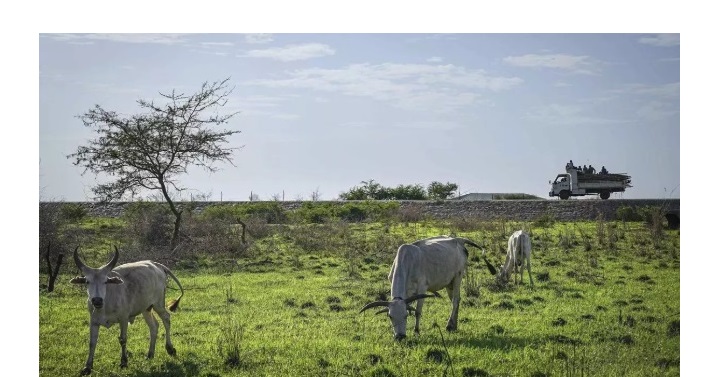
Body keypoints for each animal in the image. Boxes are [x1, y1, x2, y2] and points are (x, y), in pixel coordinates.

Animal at [360, 235, 498, 338]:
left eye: (405, 316)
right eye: (390, 316)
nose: (400, 337)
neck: (407, 262)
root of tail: (459, 240)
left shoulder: (422, 289)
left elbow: (417, 311)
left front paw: (416, 331)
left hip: (457, 277)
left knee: (454, 301)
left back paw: (449, 325)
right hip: (449, 284)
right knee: (457, 300)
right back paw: (454, 325)